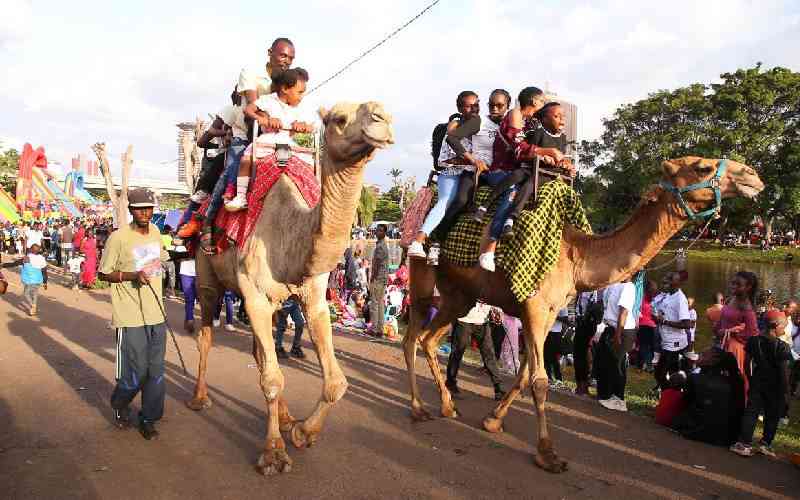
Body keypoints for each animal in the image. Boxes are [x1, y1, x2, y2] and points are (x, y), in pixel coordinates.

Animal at [188, 100, 394, 472]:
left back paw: (285, 418)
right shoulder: (254, 296)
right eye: (339, 119)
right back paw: (200, 398)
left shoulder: (313, 298)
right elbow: (271, 379)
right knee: (206, 335)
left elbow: (336, 382)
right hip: (208, 275)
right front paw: (273, 453)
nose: (381, 118)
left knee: (260, 352)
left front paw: (301, 432)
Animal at [404, 158, 764, 474]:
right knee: (412, 337)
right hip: (422, 275)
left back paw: (447, 406)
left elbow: (524, 373)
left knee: (429, 338)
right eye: (702, 166)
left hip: (459, 295)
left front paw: (492, 421)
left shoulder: (547, 311)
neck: (577, 256)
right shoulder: (535, 307)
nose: (752, 175)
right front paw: (548, 455)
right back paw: (419, 409)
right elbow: (539, 380)